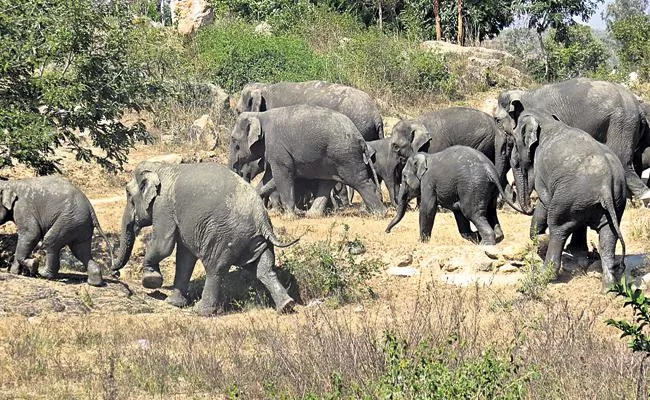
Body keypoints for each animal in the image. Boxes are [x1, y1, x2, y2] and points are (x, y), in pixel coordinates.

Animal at [112, 160, 294, 316]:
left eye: (128, 194)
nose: (115, 273)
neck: (160, 167)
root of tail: (261, 218)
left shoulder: (163, 206)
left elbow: (163, 245)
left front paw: (151, 281)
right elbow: (184, 256)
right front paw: (173, 303)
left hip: (221, 235)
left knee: (214, 269)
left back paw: (202, 311)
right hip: (256, 240)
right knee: (263, 268)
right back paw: (287, 306)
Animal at [384, 146, 520, 244]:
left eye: (404, 176)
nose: (387, 231)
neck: (426, 156)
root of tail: (490, 169)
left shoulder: (428, 181)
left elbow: (428, 208)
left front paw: (422, 242)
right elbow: (457, 211)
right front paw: (474, 235)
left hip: (473, 187)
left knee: (472, 213)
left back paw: (486, 243)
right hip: (488, 190)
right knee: (490, 211)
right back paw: (496, 238)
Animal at [508, 109, 624, 290]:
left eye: (512, 141)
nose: (528, 207)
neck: (546, 120)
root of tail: (606, 183)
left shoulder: (542, 172)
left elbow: (544, 202)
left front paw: (539, 238)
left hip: (569, 198)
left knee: (558, 227)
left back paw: (546, 276)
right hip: (608, 201)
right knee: (608, 236)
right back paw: (609, 289)